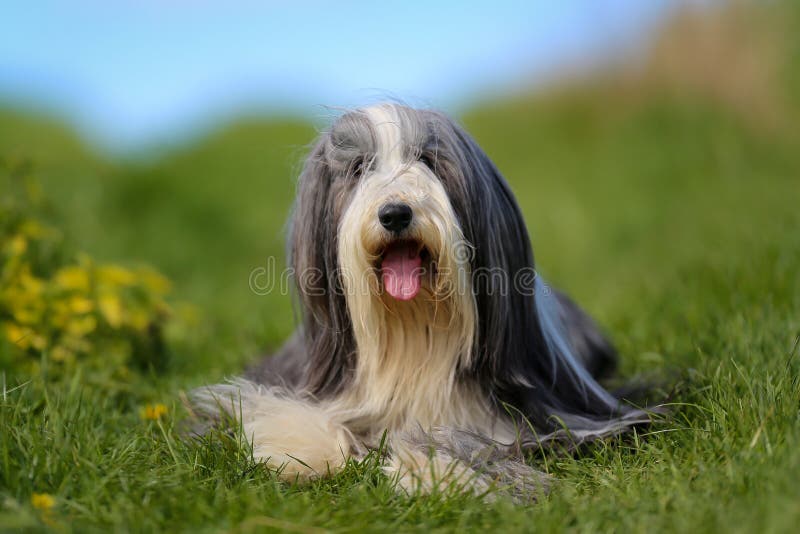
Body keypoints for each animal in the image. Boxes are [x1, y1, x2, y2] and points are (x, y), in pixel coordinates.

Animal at [195, 103, 656, 498]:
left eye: (429, 161)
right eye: (359, 168)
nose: (395, 213)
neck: (414, 333)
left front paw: (428, 467)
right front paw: (302, 449)